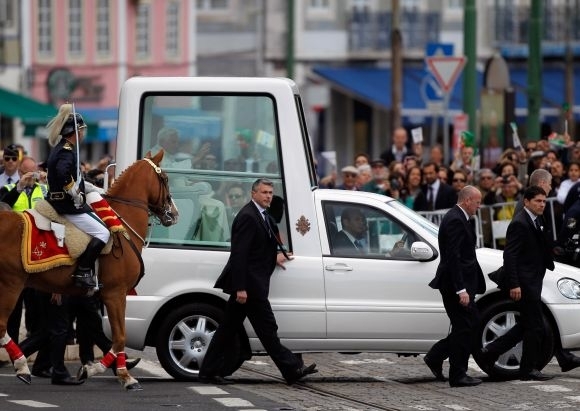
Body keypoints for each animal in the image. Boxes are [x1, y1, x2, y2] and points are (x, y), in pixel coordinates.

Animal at [0, 150, 177, 392]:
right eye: (165, 179)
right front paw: (121, 375)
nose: (174, 214)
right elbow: (120, 337)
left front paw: (98, 369)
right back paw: (22, 367)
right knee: (1, 326)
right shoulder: (115, 294)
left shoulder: (106, 297)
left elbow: (110, 335)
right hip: (11, 286)